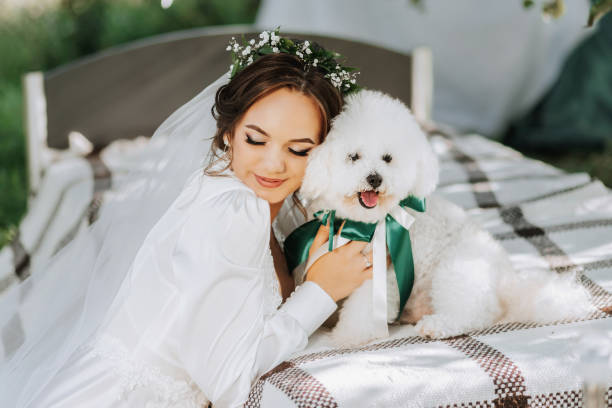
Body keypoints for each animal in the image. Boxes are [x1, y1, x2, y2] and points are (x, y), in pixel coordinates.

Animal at [296, 90, 592, 348]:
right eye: (353, 156)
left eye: (388, 158)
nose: (374, 178)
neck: (361, 223)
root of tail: (506, 280)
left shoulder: (377, 275)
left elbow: (363, 310)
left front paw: (346, 337)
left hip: (457, 269)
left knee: (477, 313)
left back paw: (436, 325)